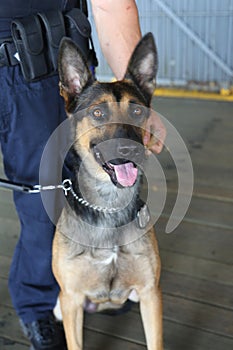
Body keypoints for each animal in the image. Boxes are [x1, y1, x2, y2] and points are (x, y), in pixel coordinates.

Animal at [52, 33, 163, 350]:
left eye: (137, 110)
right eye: (98, 112)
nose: (129, 150)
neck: (109, 206)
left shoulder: (151, 295)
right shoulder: (71, 301)